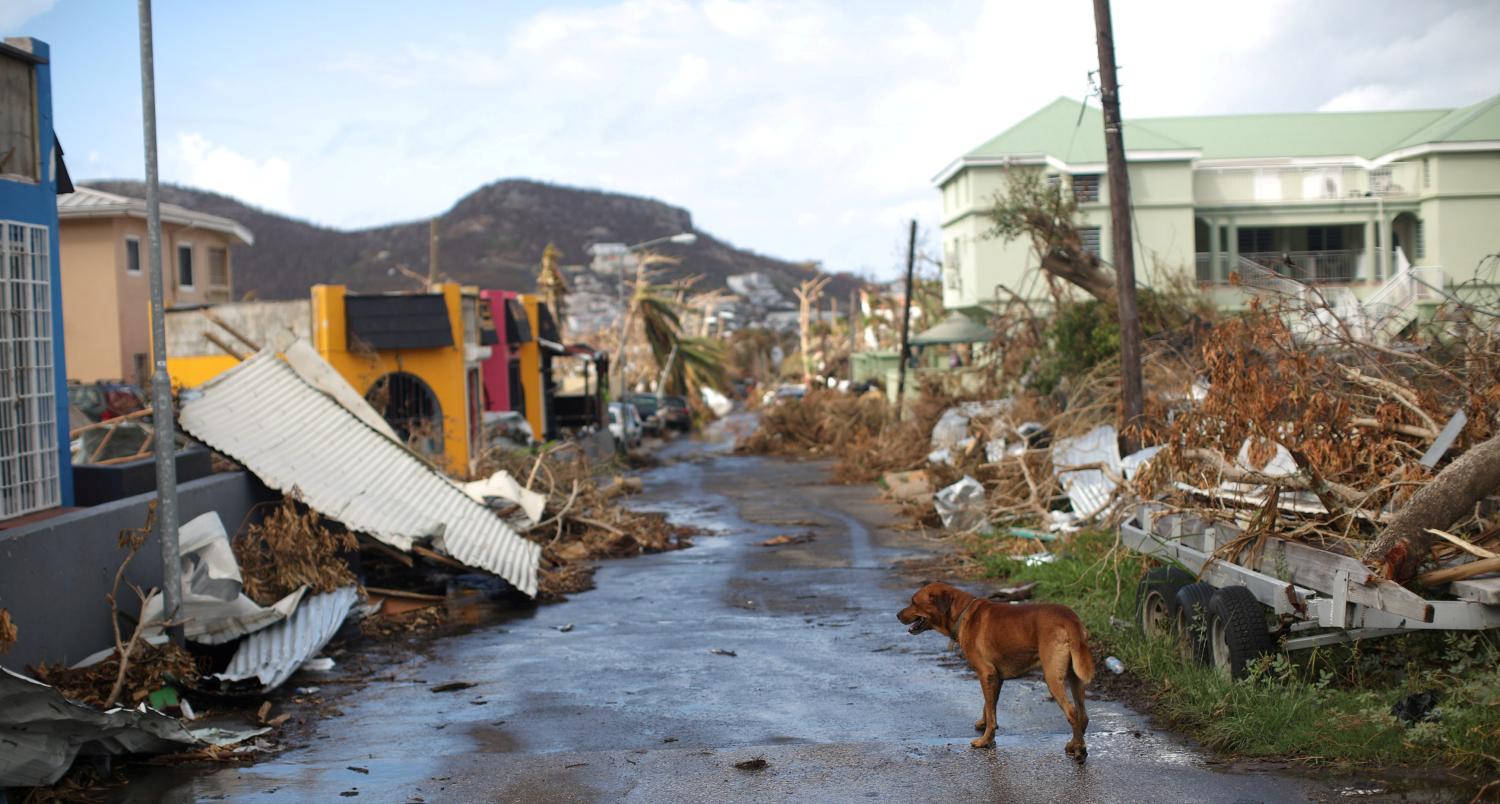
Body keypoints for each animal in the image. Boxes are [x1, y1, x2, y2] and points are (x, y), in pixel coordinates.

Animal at [894, 582, 1098, 756]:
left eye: (914, 602)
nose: (897, 614)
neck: (962, 613)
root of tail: (1070, 619)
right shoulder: (995, 677)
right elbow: (989, 705)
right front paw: (983, 724)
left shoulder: (986, 674)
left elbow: (991, 713)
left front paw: (985, 740)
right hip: (1075, 677)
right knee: (1083, 714)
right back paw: (1075, 742)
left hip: (1052, 677)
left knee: (1072, 712)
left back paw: (1079, 749)